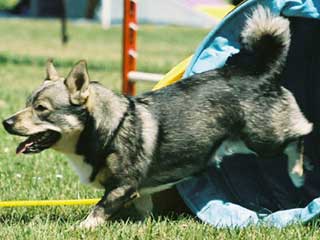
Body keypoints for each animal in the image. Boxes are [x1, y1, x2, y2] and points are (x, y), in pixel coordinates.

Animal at [2, 7, 312, 229]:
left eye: (41, 108)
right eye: (27, 104)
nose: (6, 122)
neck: (107, 129)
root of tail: (261, 72)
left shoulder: (121, 187)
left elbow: (98, 209)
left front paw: (81, 228)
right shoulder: (138, 191)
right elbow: (144, 210)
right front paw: (142, 227)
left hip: (264, 139)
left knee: (300, 134)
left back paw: (298, 174)